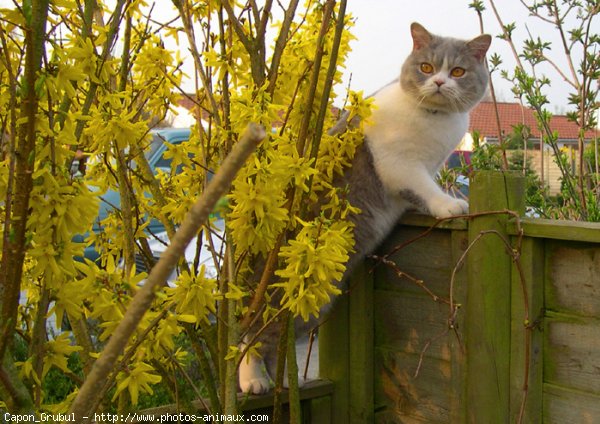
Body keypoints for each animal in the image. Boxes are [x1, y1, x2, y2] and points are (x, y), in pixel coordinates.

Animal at [239, 22, 492, 394]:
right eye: (426, 67)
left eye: (458, 71)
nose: (439, 82)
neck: (434, 119)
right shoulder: (400, 165)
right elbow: (424, 187)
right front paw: (449, 204)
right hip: (278, 294)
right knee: (253, 336)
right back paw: (253, 380)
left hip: (313, 306)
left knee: (276, 342)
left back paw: (286, 384)